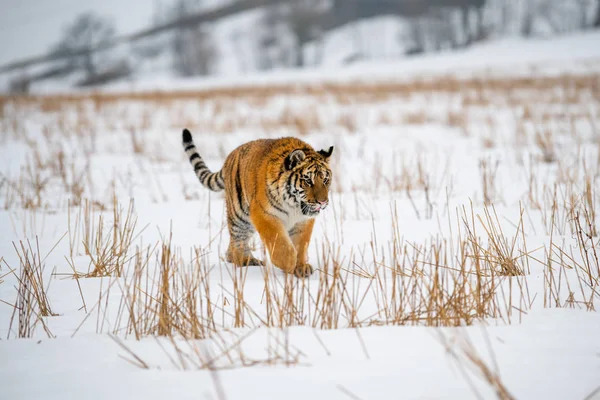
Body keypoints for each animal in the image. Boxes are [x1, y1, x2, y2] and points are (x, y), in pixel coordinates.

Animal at [180, 130, 336, 276]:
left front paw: (301, 267)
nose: (322, 202)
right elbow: (279, 242)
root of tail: (230, 156)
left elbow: (300, 244)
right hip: (240, 216)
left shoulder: (303, 221)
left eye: (325, 179)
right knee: (238, 241)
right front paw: (289, 262)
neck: (294, 206)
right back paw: (246, 260)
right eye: (308, 180)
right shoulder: (264, 214)